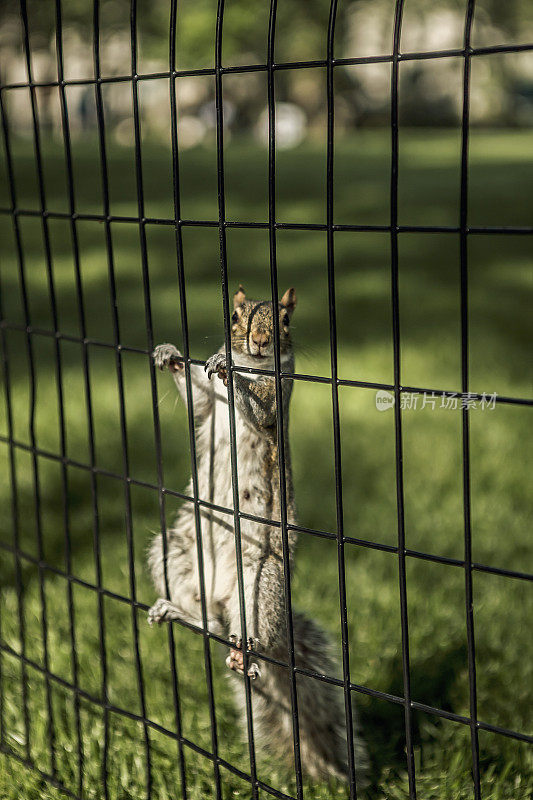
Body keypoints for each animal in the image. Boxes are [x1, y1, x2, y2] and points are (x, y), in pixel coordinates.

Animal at [148, 284, 368, 784]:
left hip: (261, 579)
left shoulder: (278, 395)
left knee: (252, 638)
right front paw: (170, 356)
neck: (256, 365)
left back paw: (246, 654)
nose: (262, 340)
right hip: (176, 551)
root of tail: (223, 596)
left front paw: (228, 370)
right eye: (235, 315)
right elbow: (198, 401)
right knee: (209, 622)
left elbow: (261, 411)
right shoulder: (208, 403)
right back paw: (179, 611)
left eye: (285, 319)